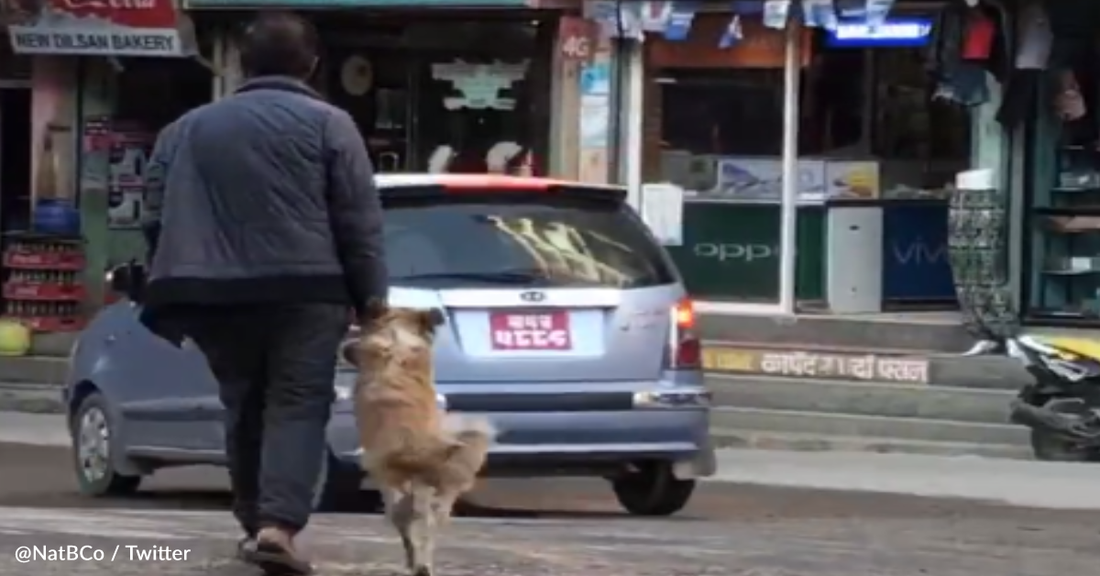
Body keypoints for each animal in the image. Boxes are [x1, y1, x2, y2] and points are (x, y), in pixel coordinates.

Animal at [354, 307, 497, 576]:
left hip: (389, 481)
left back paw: (415, 561)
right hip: (438, 493)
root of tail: (415, 449)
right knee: (428, 524)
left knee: (407, 523)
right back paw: (423, 563)